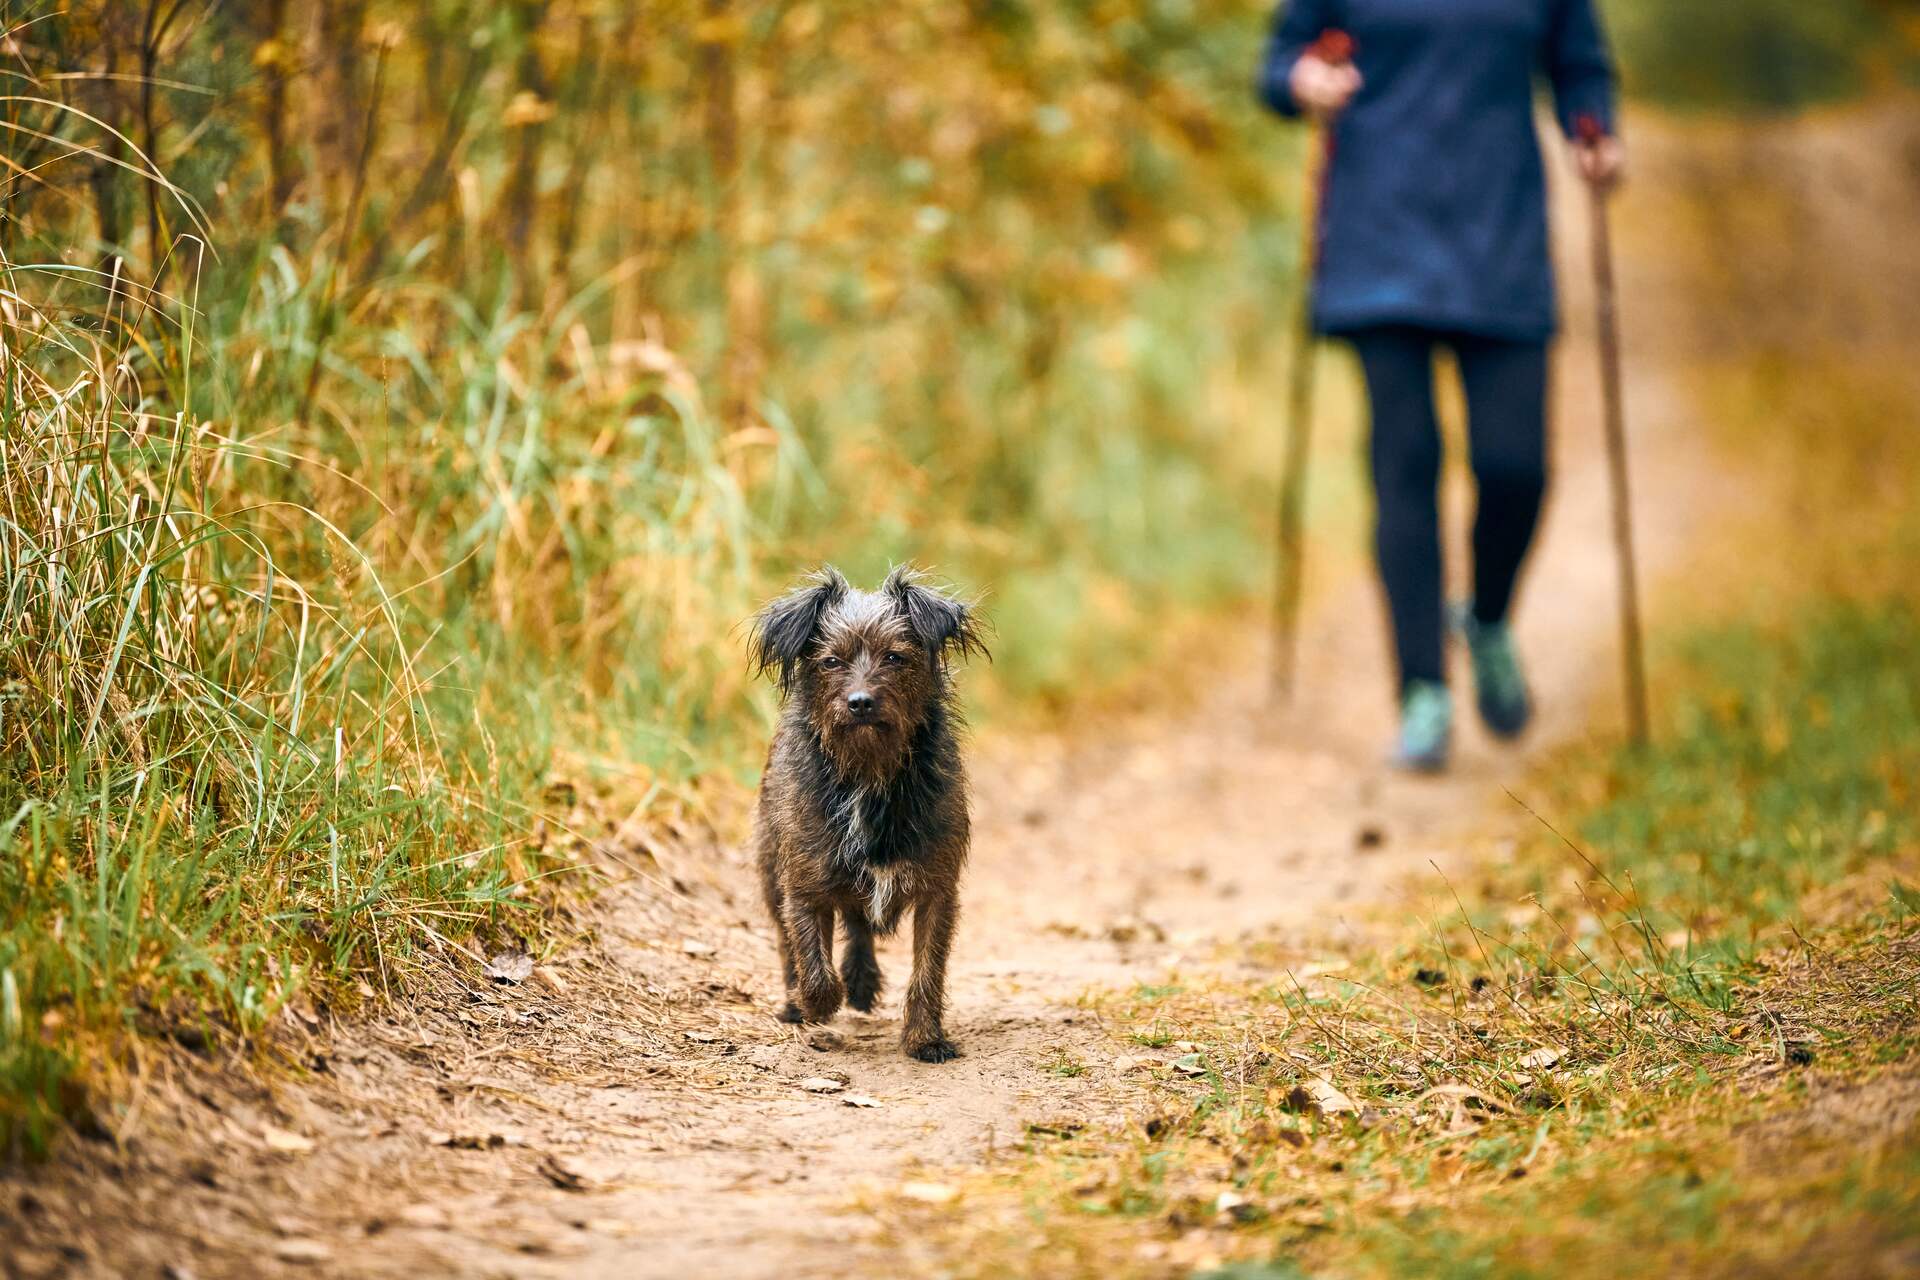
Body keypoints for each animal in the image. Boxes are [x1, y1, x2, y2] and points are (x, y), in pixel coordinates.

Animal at [748, 568, 990, 1059]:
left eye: (895, 657)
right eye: (830, 662)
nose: (859, 701)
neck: (868, 773)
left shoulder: (937, 891)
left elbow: (927, 972)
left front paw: (925, 1039)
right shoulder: (803, 885)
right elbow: (812, 960)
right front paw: (815, 1003)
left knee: (859, 923)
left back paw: (861, 983)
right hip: (769, 871)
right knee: (789, 943)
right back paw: (797, 1002)